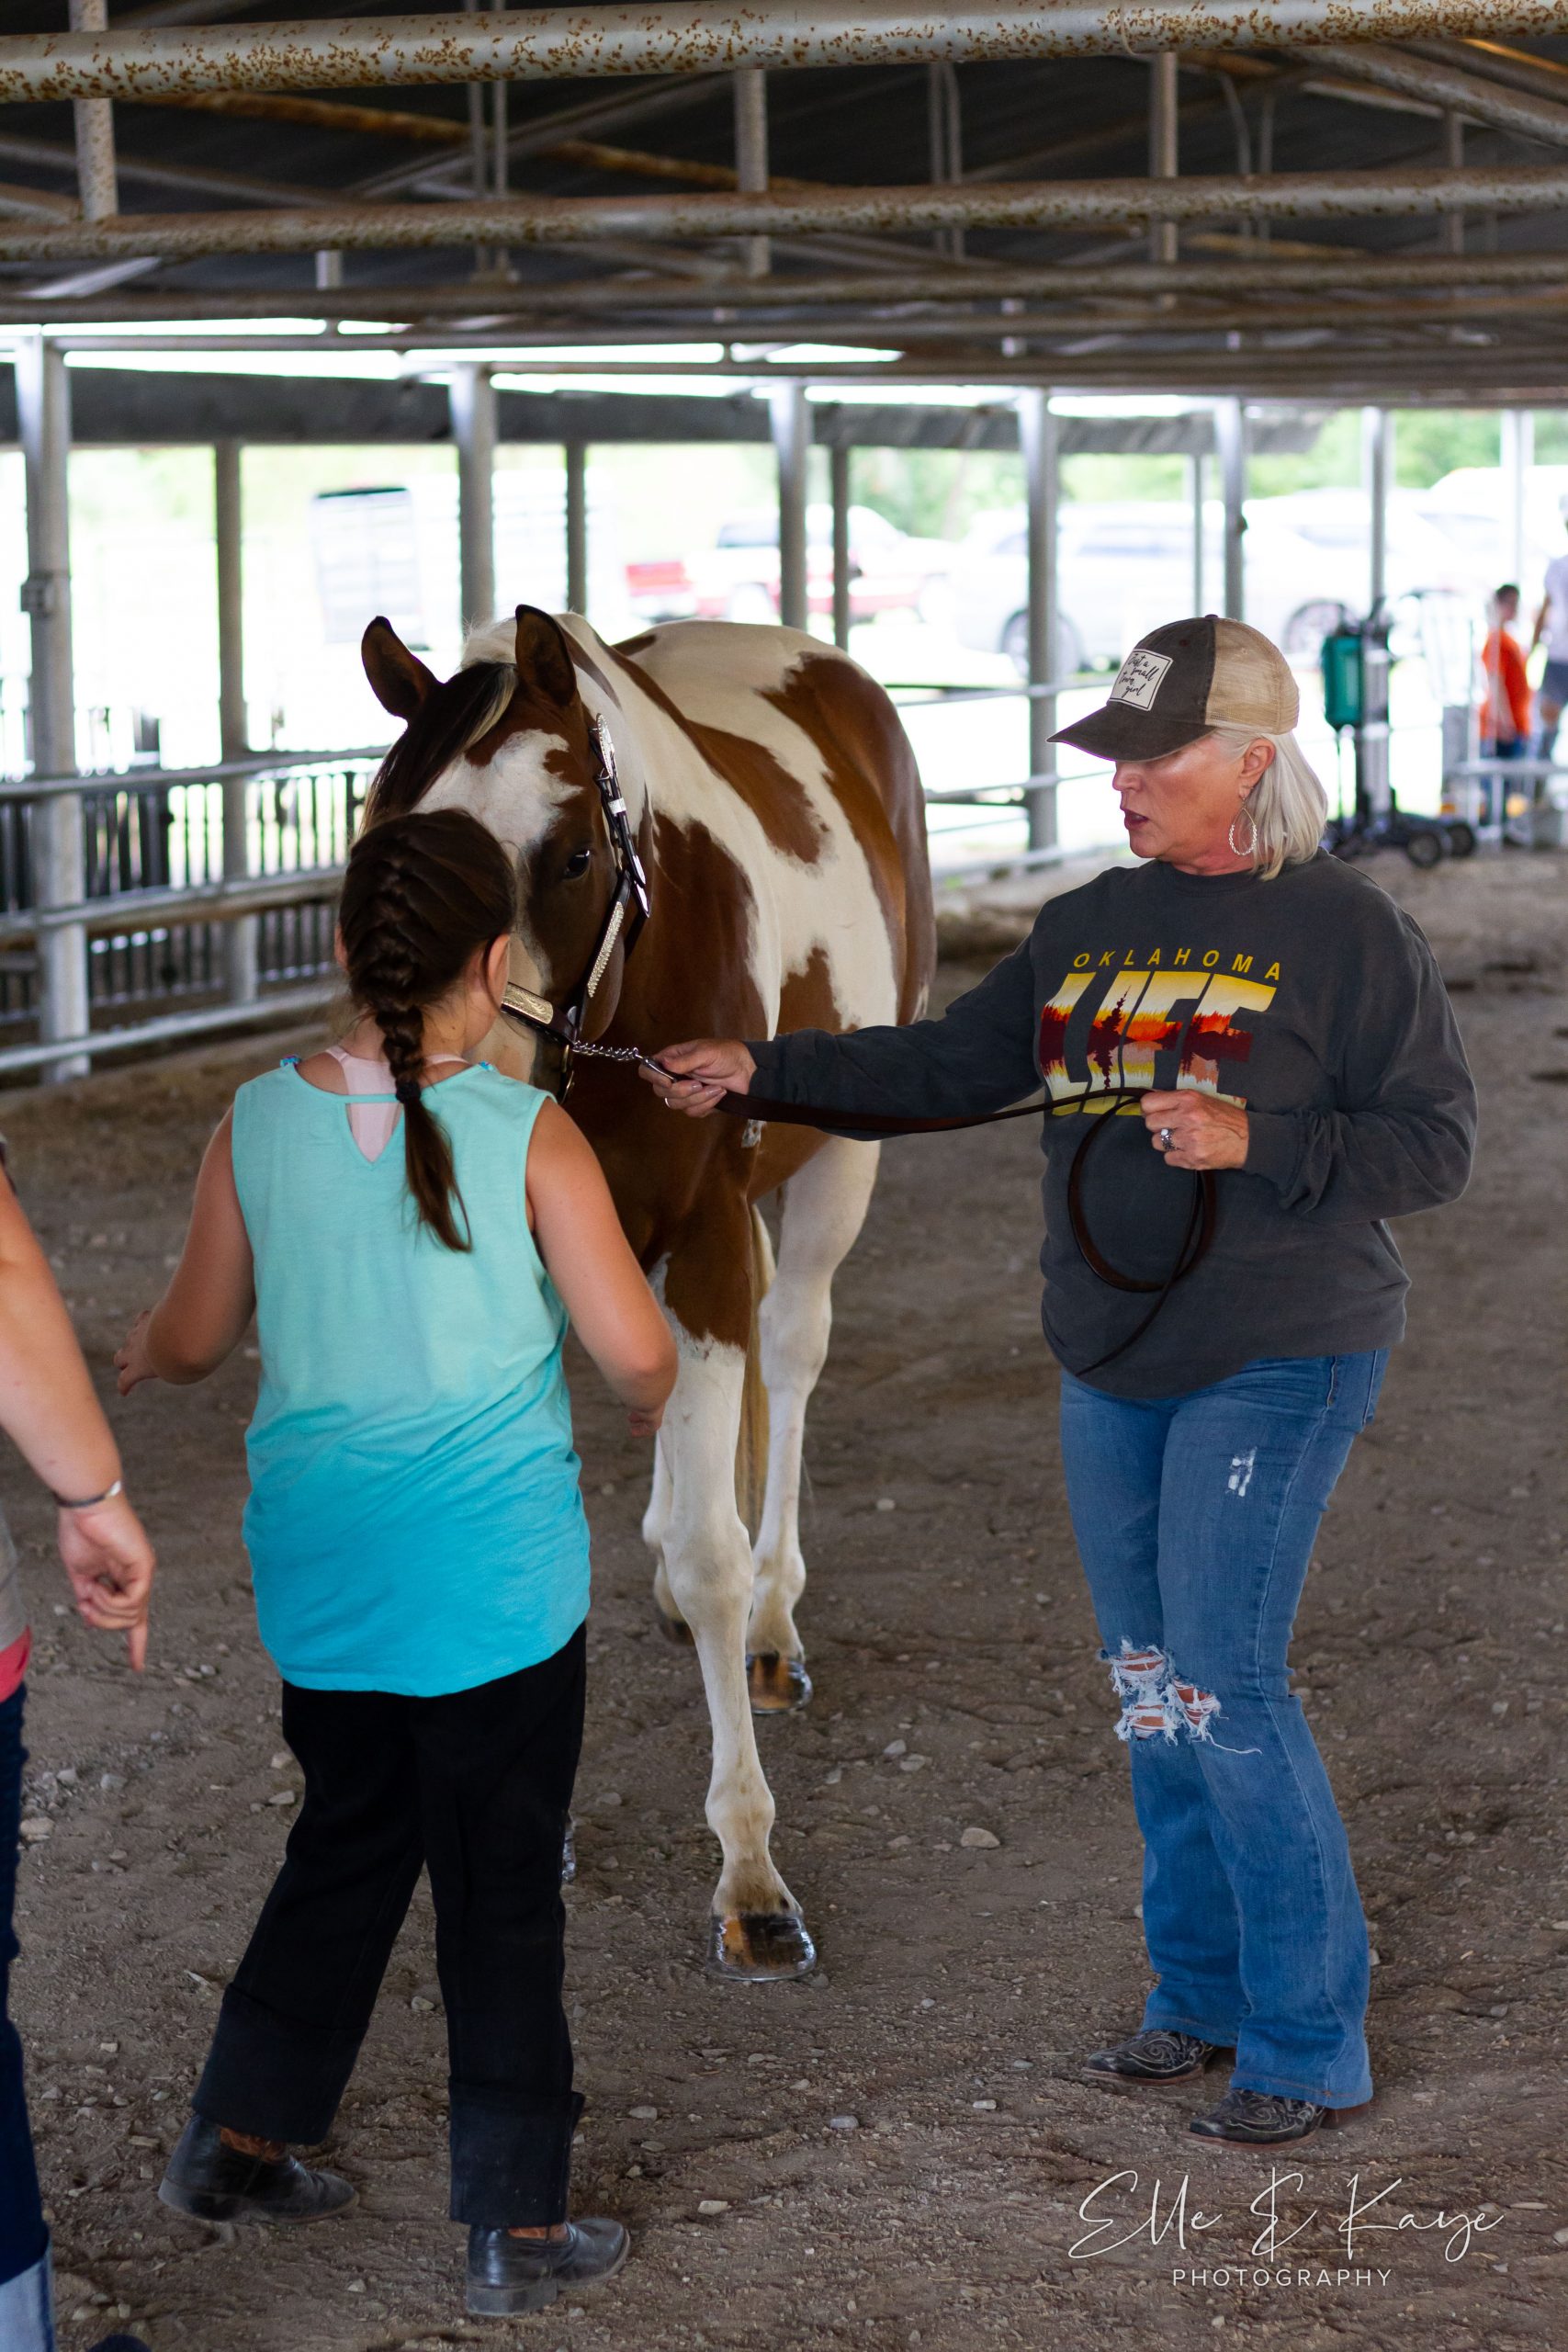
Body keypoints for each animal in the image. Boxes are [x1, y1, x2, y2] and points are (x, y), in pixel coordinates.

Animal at [361, 603, 935, 1980]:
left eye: (570, 854)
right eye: (384, 848)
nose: (456, 1086)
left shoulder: (713, 1233)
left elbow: (716, 1546)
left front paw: (750, 1874)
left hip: (833, 1166)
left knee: (790, 1355)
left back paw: (771, 1625)